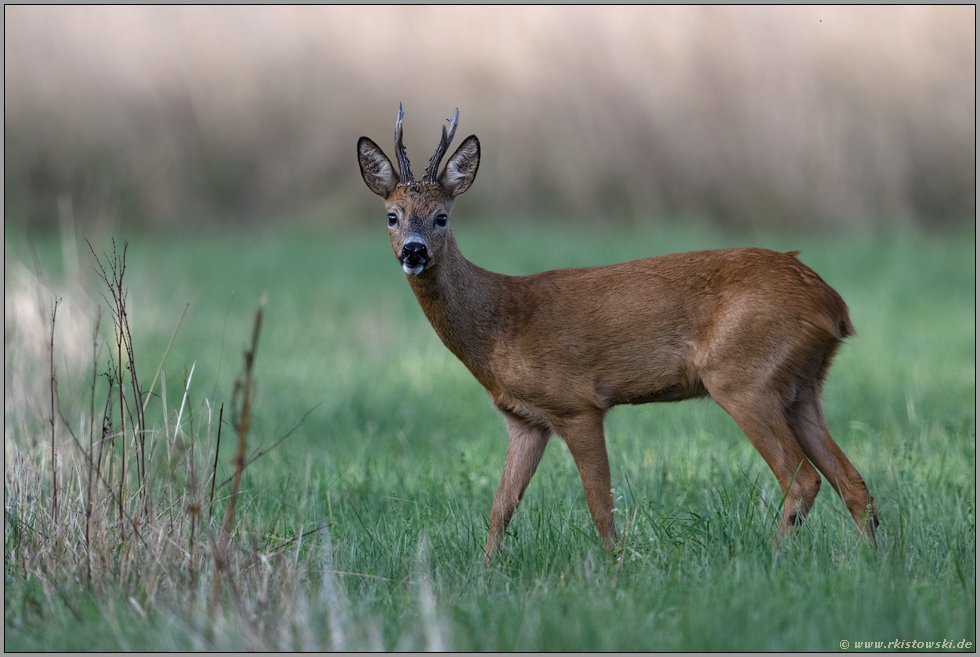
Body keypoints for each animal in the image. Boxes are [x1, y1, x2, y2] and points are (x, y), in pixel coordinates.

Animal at [357, 105, 878, 564]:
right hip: (801, 387)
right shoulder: (524, 420)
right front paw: (484, 575)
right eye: (392, 215)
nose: (414, 251)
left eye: (442, 215)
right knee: (853, 482)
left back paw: (772, 559)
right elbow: (501, 507)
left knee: (803, 480)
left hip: (743, 377)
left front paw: (617, 569)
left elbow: (599, 506)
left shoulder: (577, 403)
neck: (500, 324)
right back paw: (872, 562)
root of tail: (833, 304)